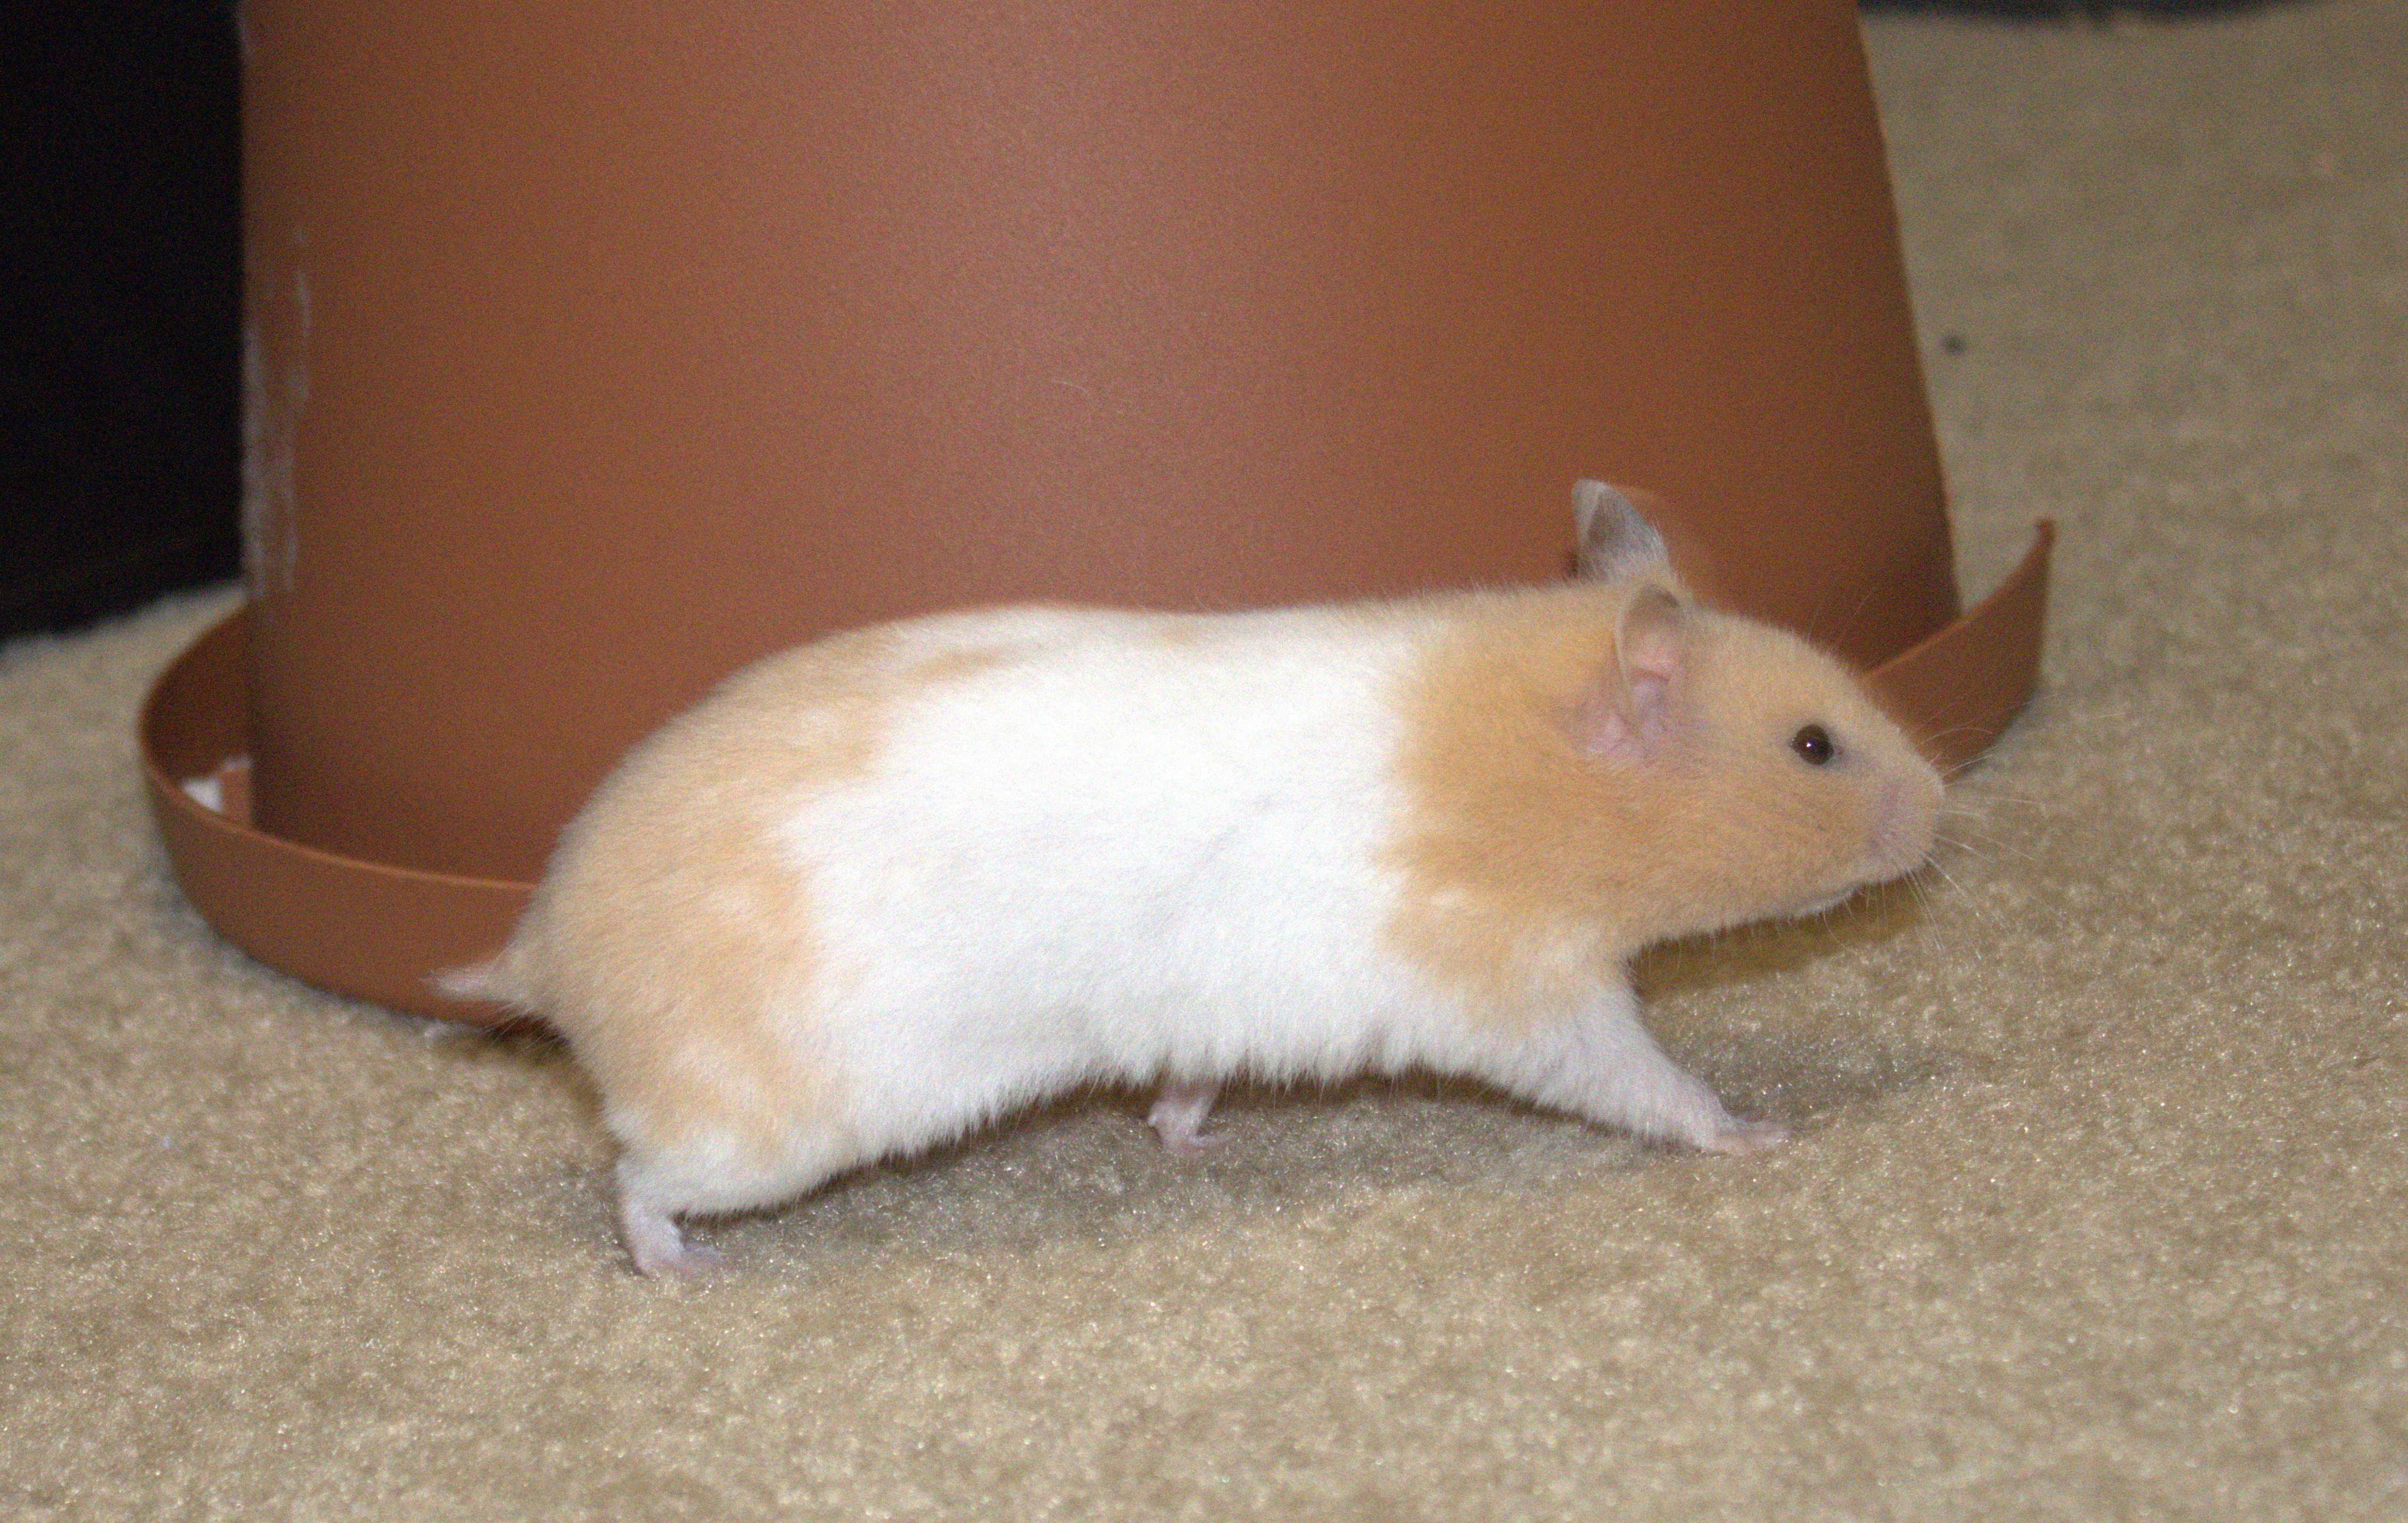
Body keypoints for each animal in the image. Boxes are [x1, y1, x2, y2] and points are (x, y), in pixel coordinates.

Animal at [443, 483, 1944, 1275]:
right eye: (1815, 747)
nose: (1946, 810)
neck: (1533, 778)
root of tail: (542, 947)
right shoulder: (1536, 998)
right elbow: (1655, 1085)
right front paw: (1760, 1136)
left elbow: (1193, 1076)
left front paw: (1186, 1137)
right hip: (761, 1133)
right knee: (635, 1176)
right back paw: (677, 1272)